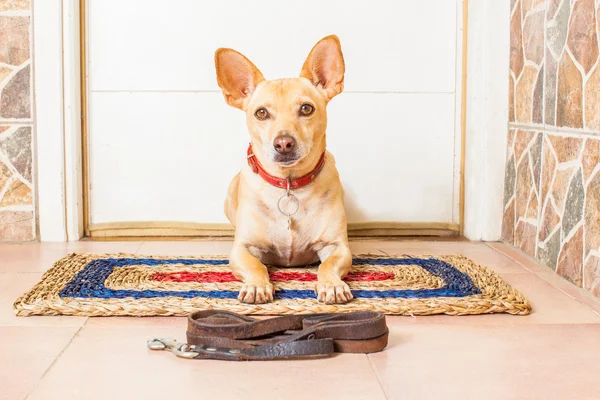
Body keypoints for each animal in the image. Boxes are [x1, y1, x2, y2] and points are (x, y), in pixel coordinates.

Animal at [214, 35, 352, 304]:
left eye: (307, 109)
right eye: (261, 113)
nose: (284, 143)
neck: (289, 185)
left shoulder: (338, 246)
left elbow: (327, 265)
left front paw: (331, 285)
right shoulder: (242, 249)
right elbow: (256, 266)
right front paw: (257, 285)